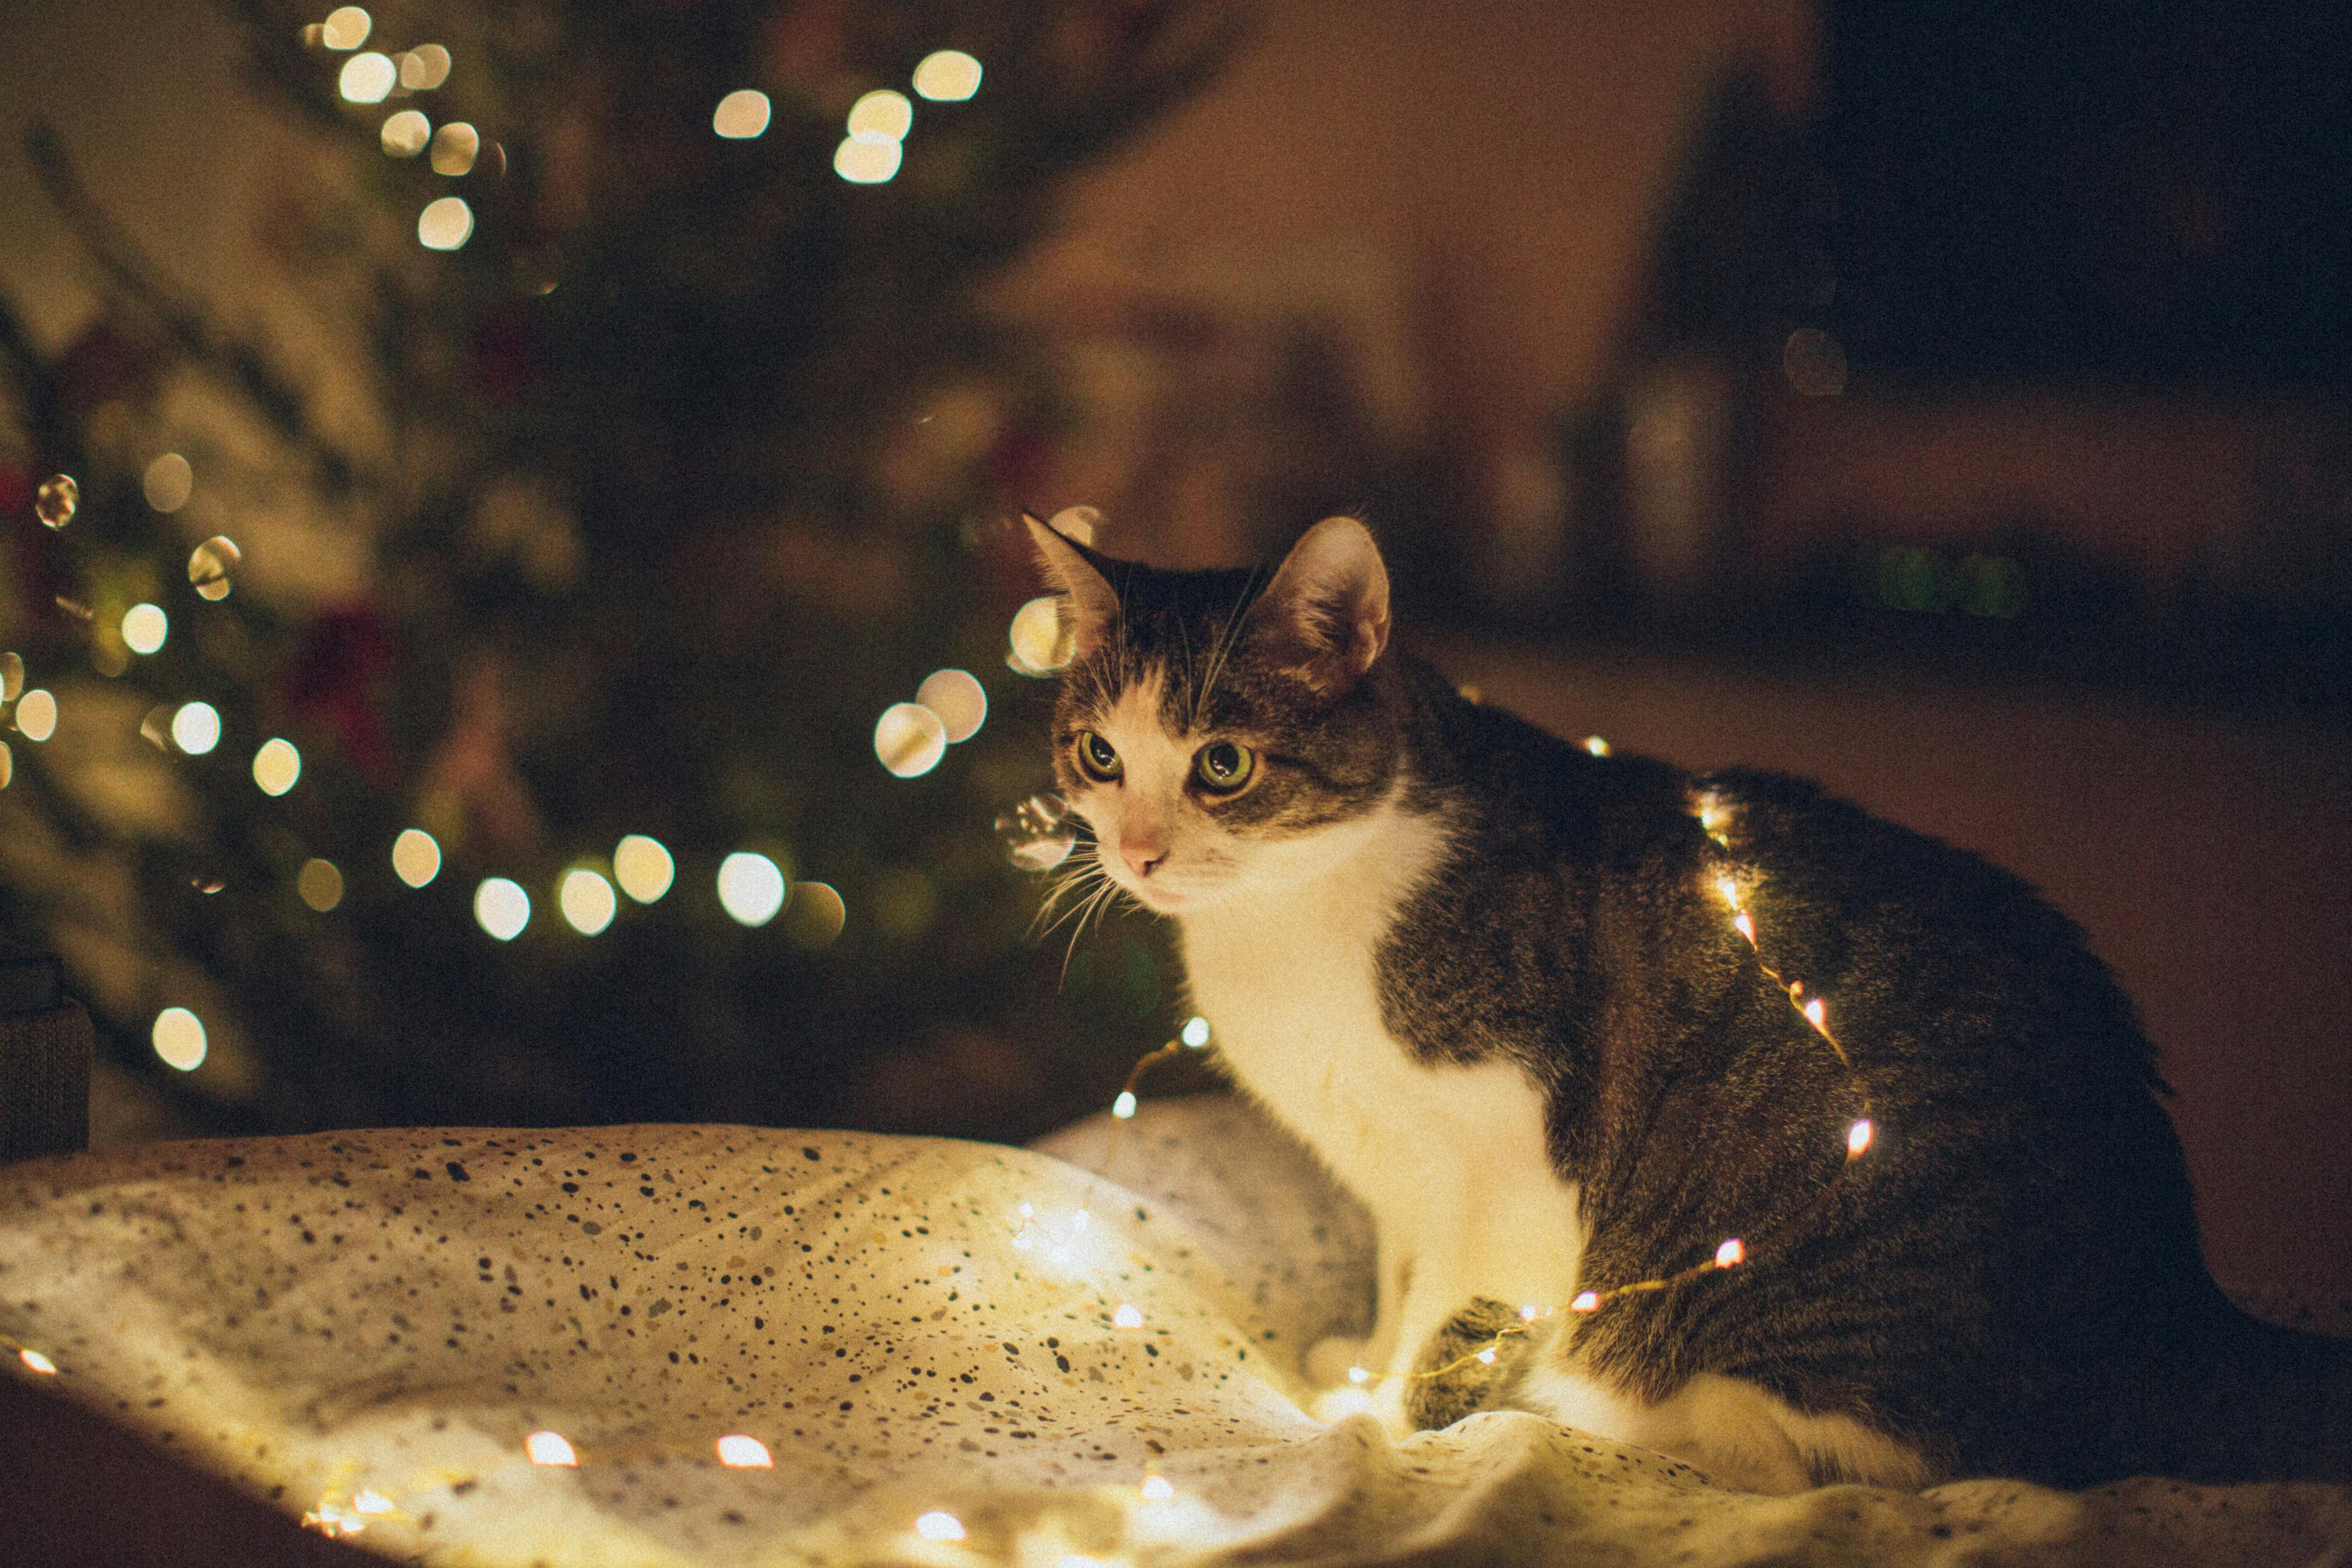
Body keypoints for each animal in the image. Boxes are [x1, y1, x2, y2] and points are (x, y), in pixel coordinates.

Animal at [1025, 510, 2352, 1495]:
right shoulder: (1397, 1172)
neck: (1289, 919)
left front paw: (1387, 1428)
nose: (1137, 851)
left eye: (1222, 763)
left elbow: (1452, 1313)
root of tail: (2179, 1299)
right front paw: (1354, 1373)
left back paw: (1582, 1402)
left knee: (1800, 1461)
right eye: (1099, 754)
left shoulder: (1505, 1164)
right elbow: (1402, 1280)